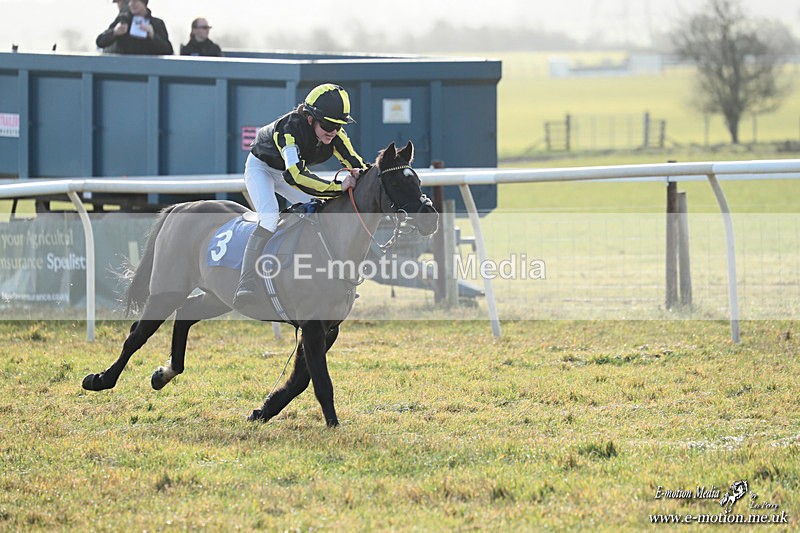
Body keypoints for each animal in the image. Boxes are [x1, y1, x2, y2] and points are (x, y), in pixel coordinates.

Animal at [82, 141, 439, 427]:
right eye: (397, 180)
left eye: (418, 180)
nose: (431, 216)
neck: (331, 243)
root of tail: (181, 206)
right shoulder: (312, 325)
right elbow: (320, 382)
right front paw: (334, 426)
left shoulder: (328, 328)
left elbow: (300, 380)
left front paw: (262, 411)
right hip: (167, 289)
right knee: (136, 335)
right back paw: (100, 379)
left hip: (218, 297)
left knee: (186, 313)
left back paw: (164, 374)